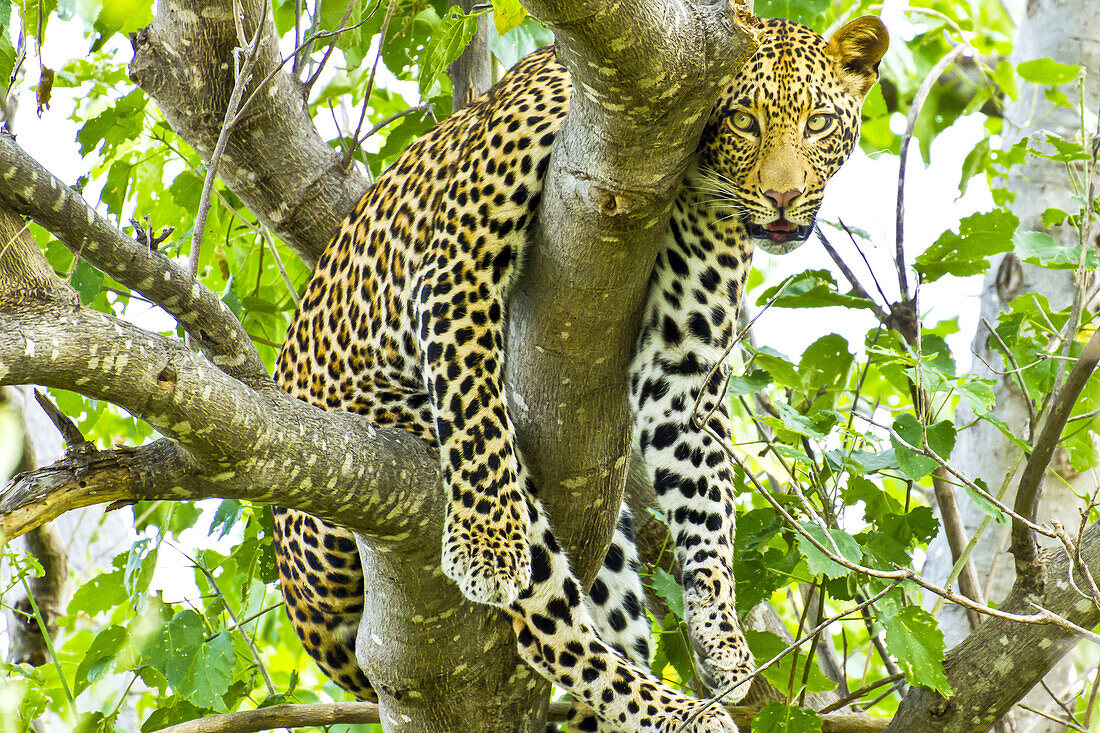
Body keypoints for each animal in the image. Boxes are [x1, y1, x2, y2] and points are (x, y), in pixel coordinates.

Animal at [270, 17, 888, 730]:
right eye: (743, 121)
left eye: (819, 123)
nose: (783, 198)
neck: (684, 179)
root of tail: (300, 602)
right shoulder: (458, 265)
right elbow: (474, 408)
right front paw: (485, 547)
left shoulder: (680, 374)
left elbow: (708, 509)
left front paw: (725, 646)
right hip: (394, 434)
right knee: (543, 621)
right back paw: (671, 709)